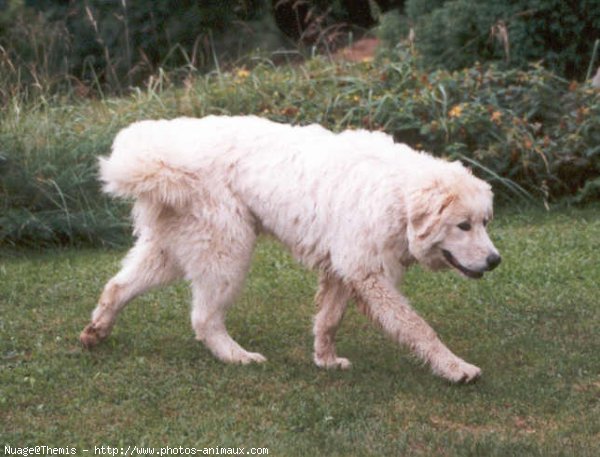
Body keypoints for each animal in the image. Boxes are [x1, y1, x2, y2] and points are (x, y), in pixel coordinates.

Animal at [81, 115, 502, 382]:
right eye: (463, 225)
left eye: (485, 222)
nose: (495, 261)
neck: (398, 195)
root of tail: (166, 153)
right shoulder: (369, 273)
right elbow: (418, 327)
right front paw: (456, 368)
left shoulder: (343, 270)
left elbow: (328, 320)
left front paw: (325, 360)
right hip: (228, 250)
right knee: (204, 318)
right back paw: (238, 357)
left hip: (172, 250)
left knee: (117, 286)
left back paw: (96, 330)